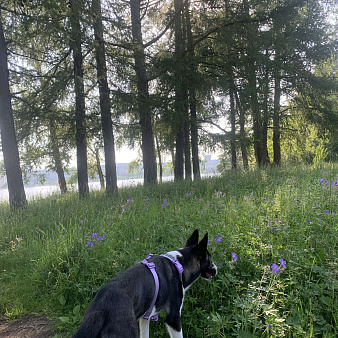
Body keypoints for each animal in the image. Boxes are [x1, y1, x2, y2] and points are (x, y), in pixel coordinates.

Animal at [72, 228, 218, 336]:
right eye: (210, 260)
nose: (216, 269)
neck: (179, 264)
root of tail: (101, 308)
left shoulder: (144, 318)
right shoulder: (174, 318)